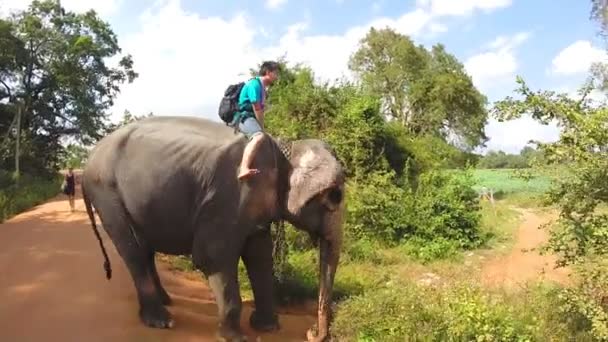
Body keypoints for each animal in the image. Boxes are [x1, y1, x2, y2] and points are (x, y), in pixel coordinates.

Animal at [82, 115, 346, 342]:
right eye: (334, 198)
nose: (312, 333)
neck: (284, 148)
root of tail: (86, 164)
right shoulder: (228, 195)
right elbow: (212, 257)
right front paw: (235, 338)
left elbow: (260, 257)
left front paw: (268, 328)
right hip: (106, 193)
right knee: (132, 251)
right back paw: (161, 321)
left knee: (145, 250)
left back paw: (166, 302)